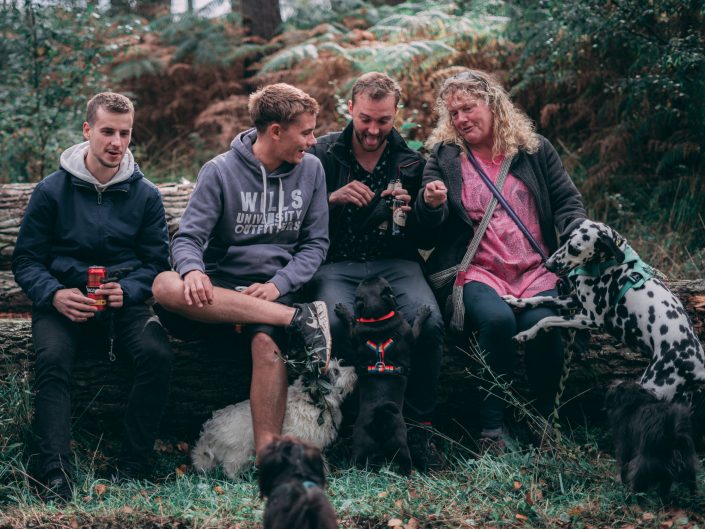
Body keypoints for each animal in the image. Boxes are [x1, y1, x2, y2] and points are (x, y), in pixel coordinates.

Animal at [334, 276, 428, 474]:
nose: (370, 276)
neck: (378, 321)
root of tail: (380, 419)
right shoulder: (410, 333)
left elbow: (351, 323)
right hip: (398, 443)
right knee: (404, 462)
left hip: (366, 443)